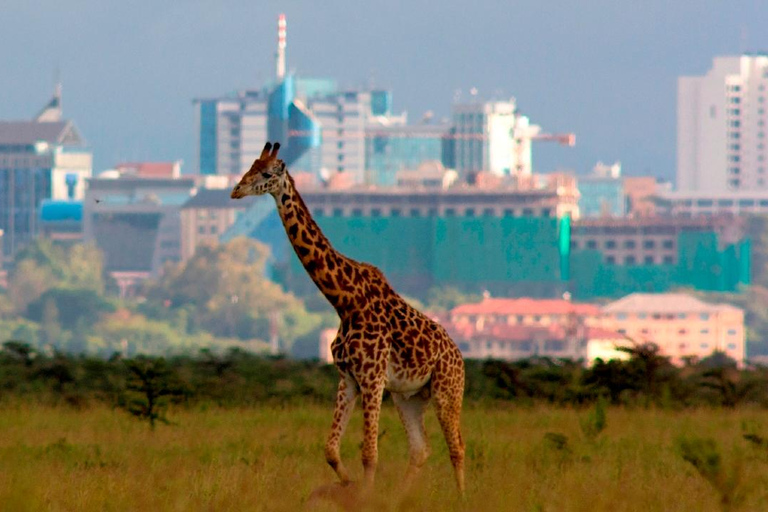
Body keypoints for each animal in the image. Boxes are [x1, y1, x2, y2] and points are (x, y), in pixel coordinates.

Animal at [231, 142, 464, 494]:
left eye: (267, 173)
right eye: (250, 166)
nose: (236, 190)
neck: (344, 301)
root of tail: (460, 358)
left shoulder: (372, 377)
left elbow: (369, 453)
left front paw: (364, 495)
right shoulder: (348, 378)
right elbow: (331, 450)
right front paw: (350, 486)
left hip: (447, 391)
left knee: (457, 448)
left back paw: (463, 498)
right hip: (408, 397)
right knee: (421, 450)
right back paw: (400, 498)